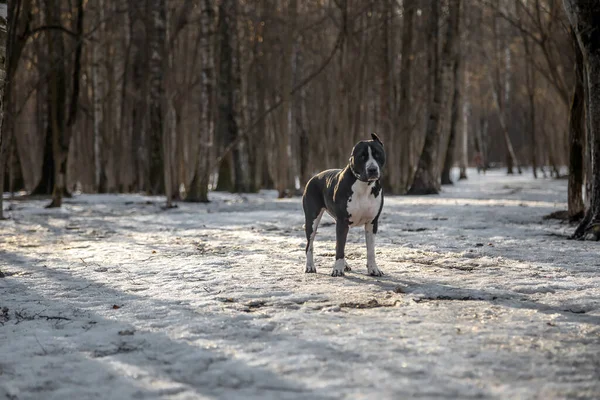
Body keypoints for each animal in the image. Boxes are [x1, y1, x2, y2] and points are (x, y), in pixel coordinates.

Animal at [302, 133, 386, 276]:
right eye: (362, 156)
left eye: (377, 154)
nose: (372, 169)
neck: (364, 185)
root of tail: (314, 177)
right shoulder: (342, 222)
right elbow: (340, 247)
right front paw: (337, 269)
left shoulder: (372, 222)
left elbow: (370, 250)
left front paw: (373, 269)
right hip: (311, 220)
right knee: (310, 244)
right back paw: (310, 266)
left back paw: (345, 265)